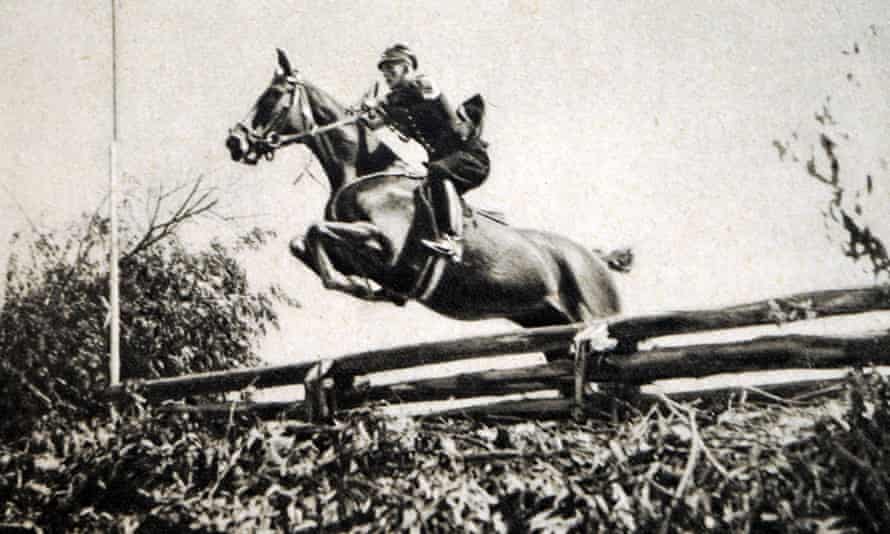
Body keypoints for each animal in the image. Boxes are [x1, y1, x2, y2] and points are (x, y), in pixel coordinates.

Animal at [225, 50, 628, 362]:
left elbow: (315, 230)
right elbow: (301, 242)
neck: (364, 174)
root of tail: (597, 259)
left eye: (273, 96)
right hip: (548, 327)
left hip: (597, 314)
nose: (235, 142)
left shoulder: (386, 246)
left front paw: (354, 285)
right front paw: (362, 286)